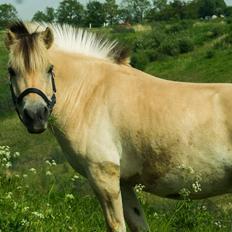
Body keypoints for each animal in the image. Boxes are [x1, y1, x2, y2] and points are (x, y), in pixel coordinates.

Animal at [5, 20, 232, 231]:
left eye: (49, 68)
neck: (89, 94)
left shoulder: (103, 176)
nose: (35, 115)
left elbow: (116, 225)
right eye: (11, 71)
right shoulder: (124, 183)